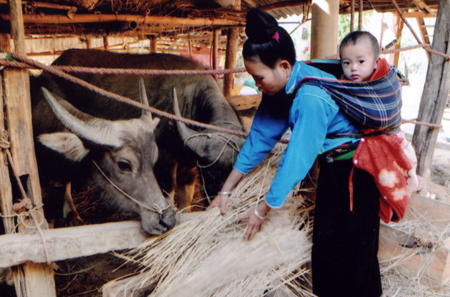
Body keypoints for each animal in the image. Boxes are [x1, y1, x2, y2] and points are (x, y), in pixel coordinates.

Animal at [33, 49, 248, 209]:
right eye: (211, 174)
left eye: (237, 175)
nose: (218, 202)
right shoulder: (165, 163)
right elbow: (168, 196)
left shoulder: (189, 168)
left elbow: (185, 201)